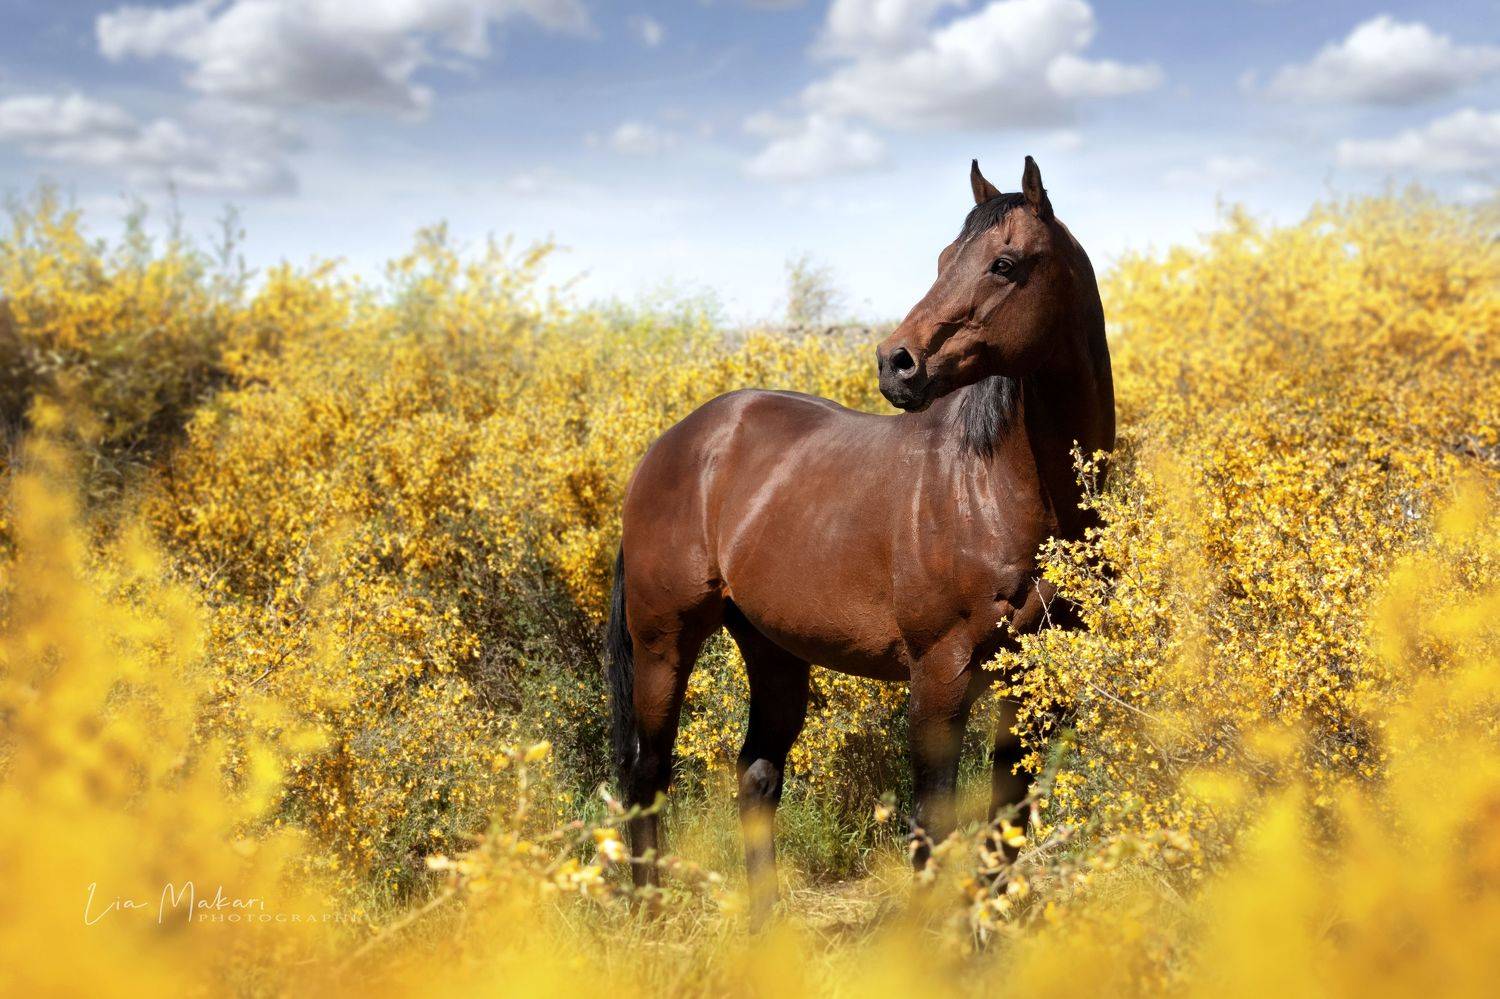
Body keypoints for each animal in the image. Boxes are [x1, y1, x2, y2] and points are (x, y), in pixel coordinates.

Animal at [605, 157, 1114, 925]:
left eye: (1004, 263)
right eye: (943, 258)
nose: (896, 363)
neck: (1001, 491)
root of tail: (671, 446)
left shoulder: (1038, 685)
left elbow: (1006, 823)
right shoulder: (940, 675)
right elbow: (931, 824)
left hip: (771, 647)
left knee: (757, 773)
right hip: (665, 640)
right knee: (648, 772)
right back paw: (649, 912)